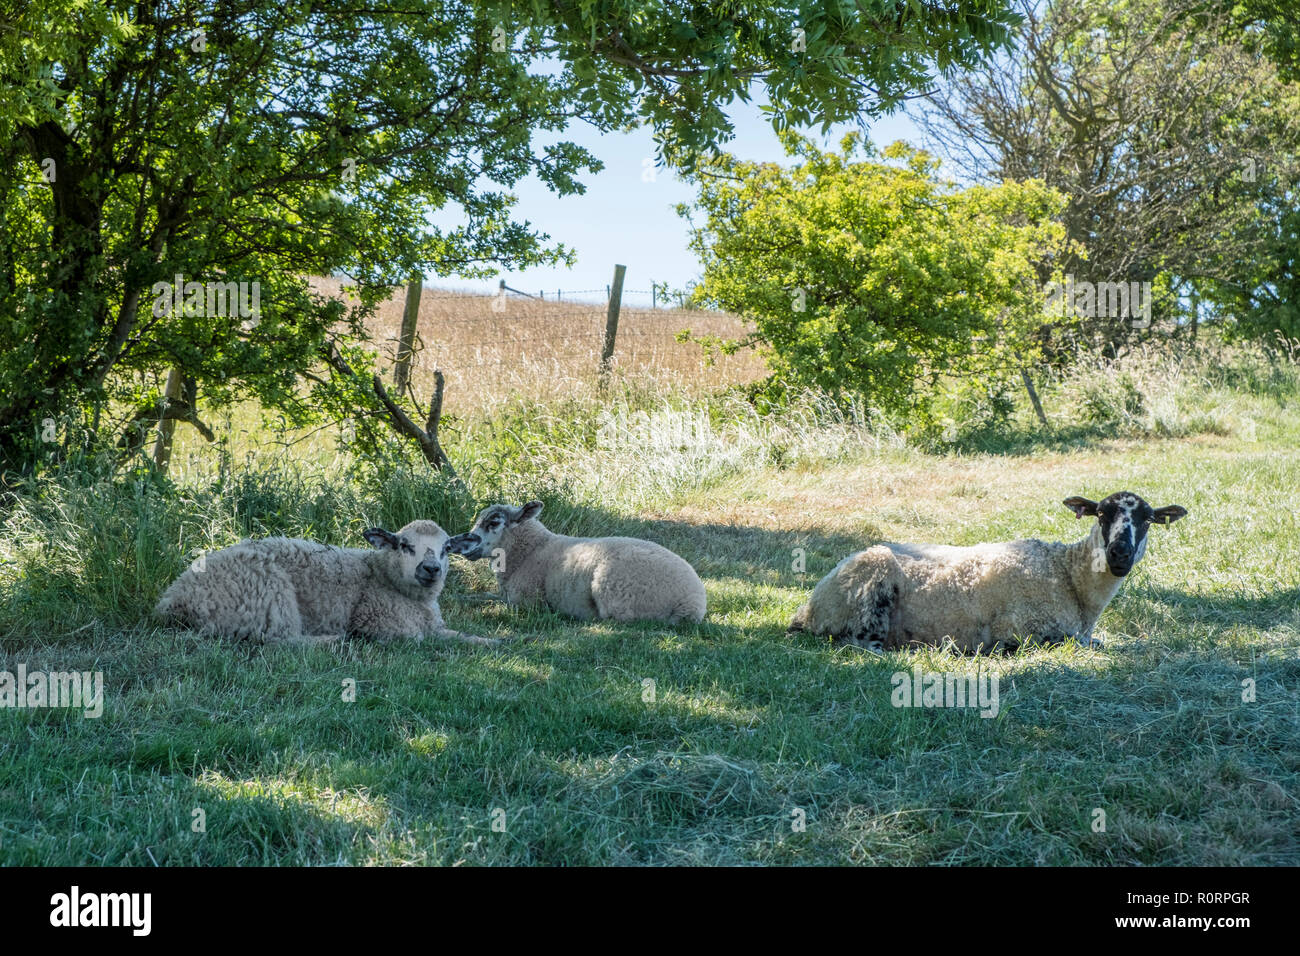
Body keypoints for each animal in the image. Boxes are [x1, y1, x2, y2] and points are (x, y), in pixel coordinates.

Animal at [154, 520, 495, 647]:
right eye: (404, 545)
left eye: (446, 548)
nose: (431, 568)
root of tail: (175, 599)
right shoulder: (382, 621)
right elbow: (427, 639)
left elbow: (460, 635)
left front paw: (495, 642)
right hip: (268, 591)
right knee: (281, 641)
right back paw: (334, 640)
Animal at [447, 500, 707, 625]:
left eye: (493, 523)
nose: (455, 543)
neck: (530, 551)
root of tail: (691, 603)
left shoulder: (524, 603)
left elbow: (486, 600)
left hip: (616, 596)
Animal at [787, 491, 1187, 653]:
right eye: (1102, 514)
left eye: (1147, 519)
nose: (1119, 554)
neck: (1067, 576)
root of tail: (808, 609)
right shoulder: (1026, 628)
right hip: (870, 588)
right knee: (861, 644)